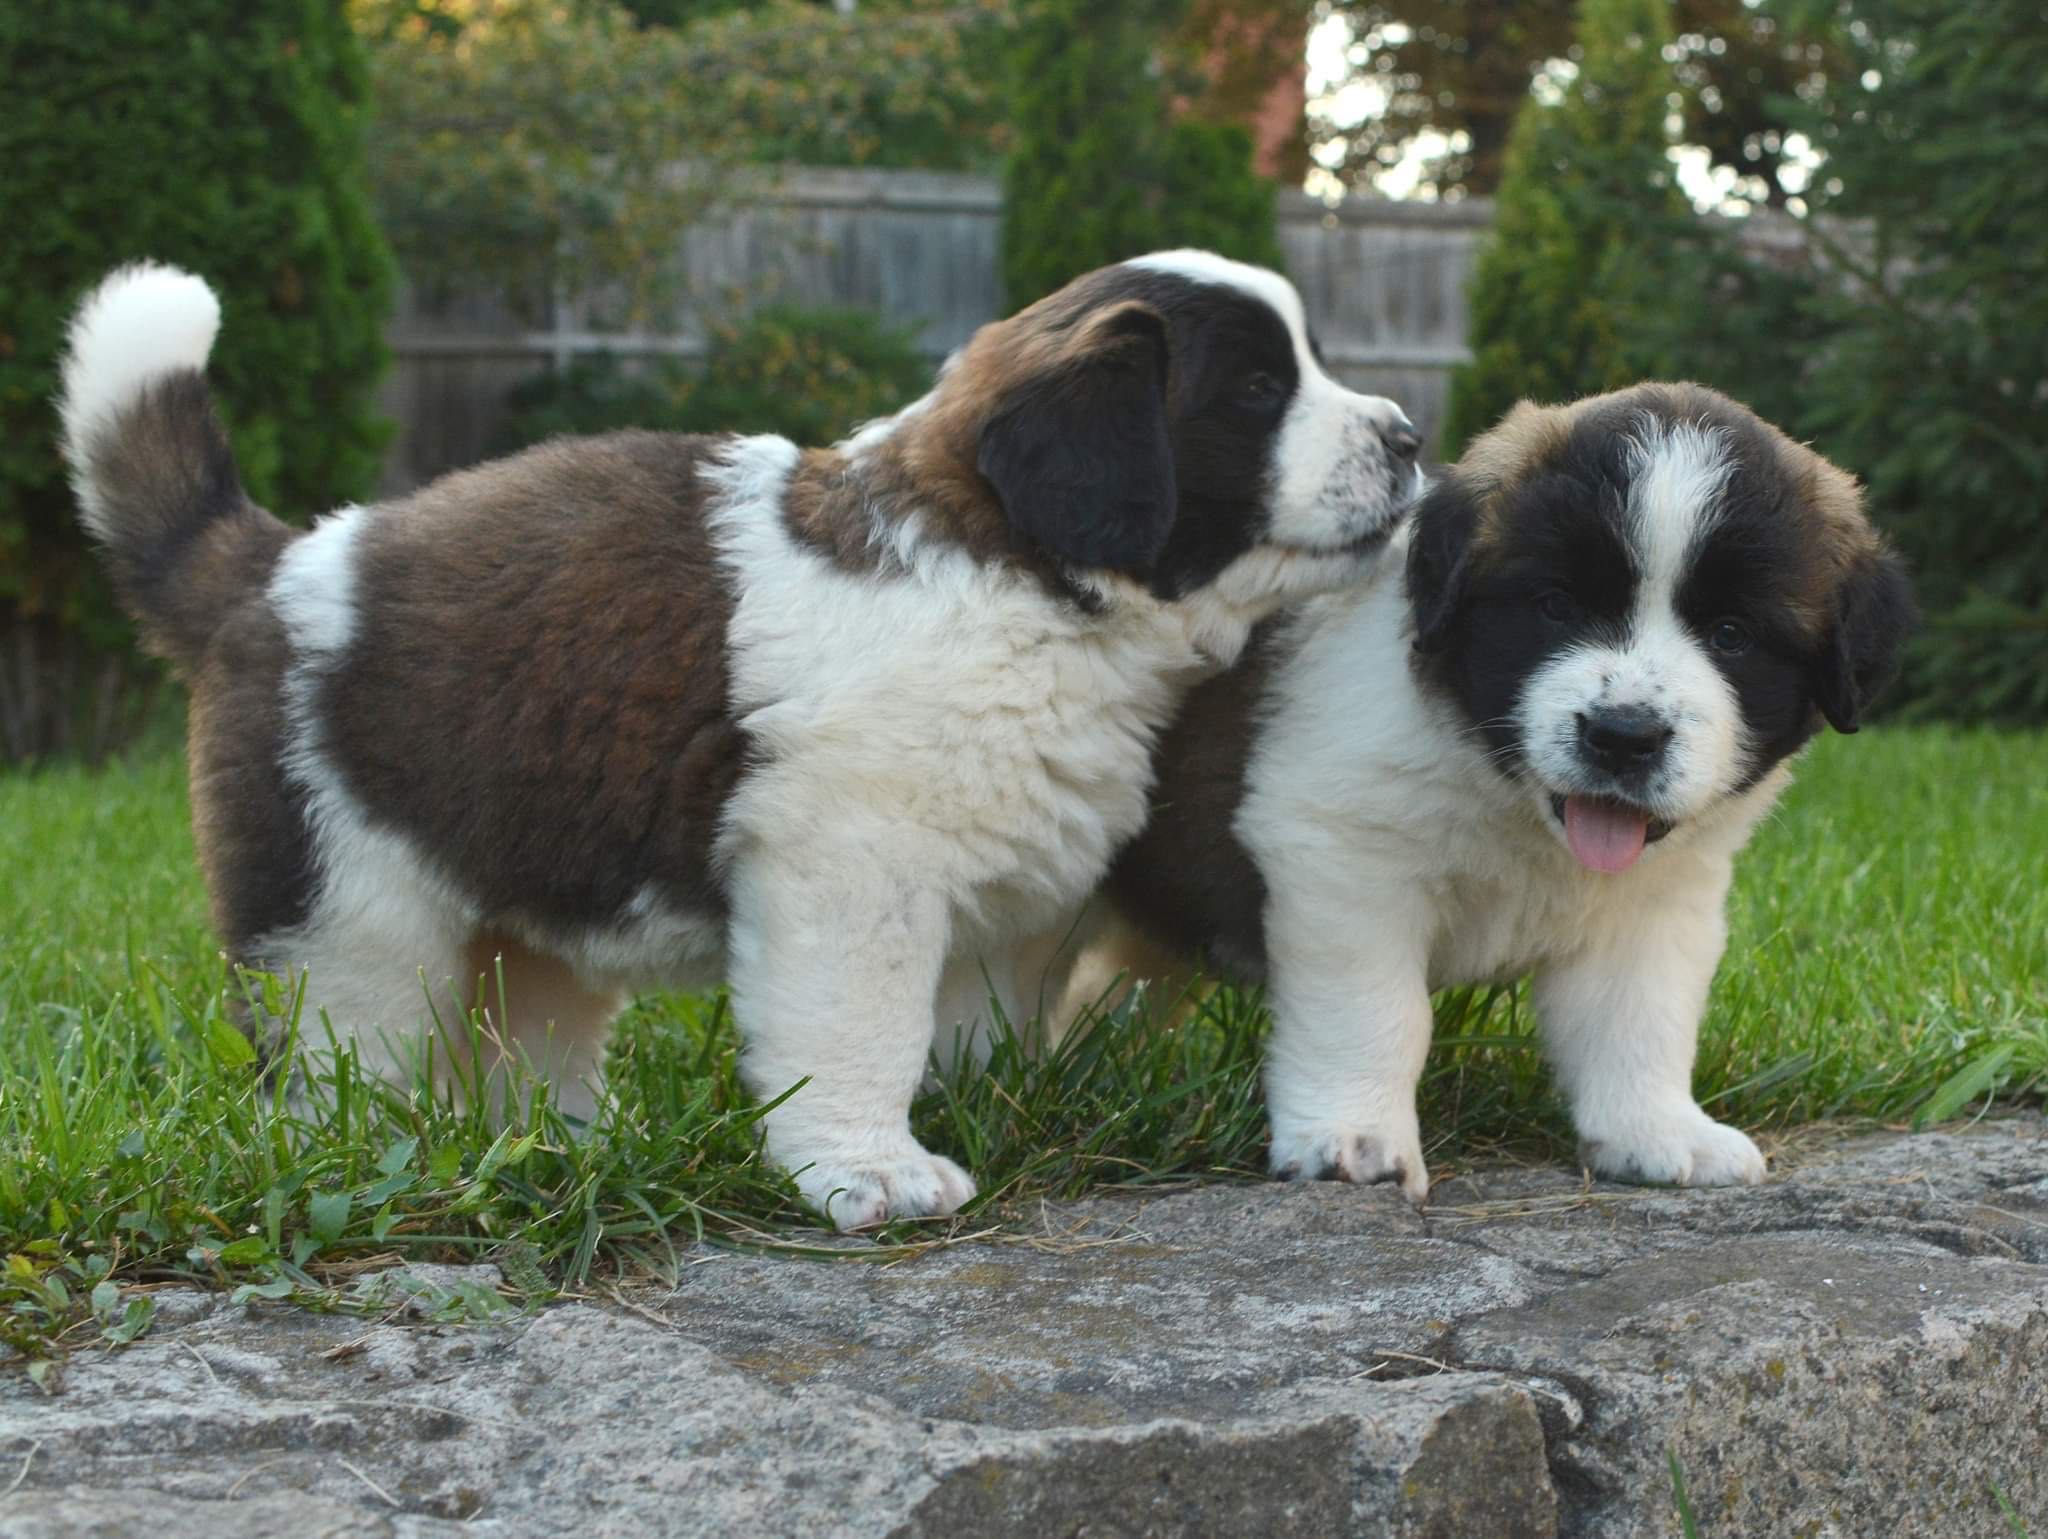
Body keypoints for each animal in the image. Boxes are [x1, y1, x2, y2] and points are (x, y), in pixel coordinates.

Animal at [51, 256, 1425, 1237]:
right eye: (1255, 392)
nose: (1409, 436)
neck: (1020, 578)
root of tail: (270, 569)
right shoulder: (849, 874)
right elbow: (859, 1027)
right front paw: (870, 1171)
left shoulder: (996, 882)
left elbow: (974, 1017)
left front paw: (985, 1107)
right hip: (342, 910)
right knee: (347, 1049)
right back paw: (371, 1155)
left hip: (522, 904)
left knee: (524, 1035)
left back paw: (563, 1149)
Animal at [1073, 385, 1916, 1204]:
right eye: (1556, 604)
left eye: (1731, 635)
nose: (1624, 734)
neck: (1507, 794)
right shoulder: (1346, 859)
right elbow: (1374, 1011)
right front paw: (1354, 1135)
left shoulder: (1657, 902)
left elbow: (1639, 1016)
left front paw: (1657, 1129)